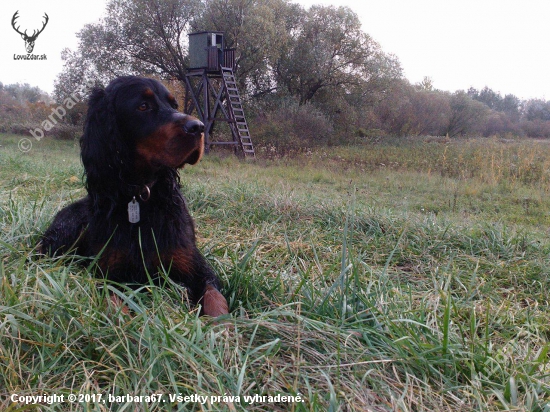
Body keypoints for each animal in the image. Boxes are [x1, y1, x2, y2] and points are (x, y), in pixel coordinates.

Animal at [39, 75, 229, 318]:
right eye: (143, 106)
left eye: (174, 105)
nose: (198, 127)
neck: (139, 196)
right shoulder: (107, 274)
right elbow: (114, 304)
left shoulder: (194, 265)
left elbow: (215, 297)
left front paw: (224, 326)